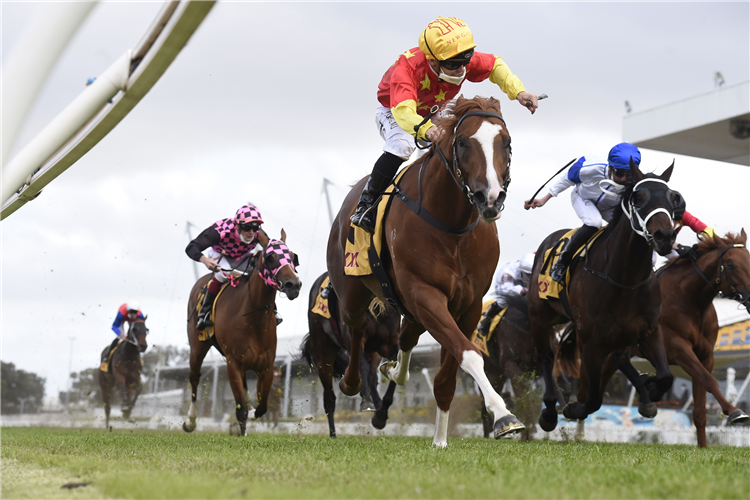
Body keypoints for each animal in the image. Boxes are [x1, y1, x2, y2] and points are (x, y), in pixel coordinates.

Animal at [183, 229, 302, 436]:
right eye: (271, 257)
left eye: (293, 256)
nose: (293, 285)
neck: (253, 318)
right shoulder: (233, 364)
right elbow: (242, 408)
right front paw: (240, 429)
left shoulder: (266, 366)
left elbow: (261, 407)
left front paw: (245, 420)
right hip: (197, 347)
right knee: (195, 377)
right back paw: (190, 421)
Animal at [302, 270, 402, 438]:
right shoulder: (354, 338)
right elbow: (362, 367)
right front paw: (367, 403)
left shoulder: (389, 344)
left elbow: (395, 371)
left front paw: (381, 414)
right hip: (323, 351)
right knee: (329, 398)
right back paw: (333, 434)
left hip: (373, 351)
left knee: (372, 377)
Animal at [328, 96, 528, 446]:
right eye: (462, 143)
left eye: (506, 143)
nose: (490, 198)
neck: (453, 227)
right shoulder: (424, 293)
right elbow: (469, 354)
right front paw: (504, 415)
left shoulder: (468, 305)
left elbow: (448, 375)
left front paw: (440, 440)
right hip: (354, 290)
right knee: (356, 328)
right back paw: (354, 384)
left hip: (413, 309)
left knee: (406, 337)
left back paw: (394, 371)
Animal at [528, 162, 688, 432]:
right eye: (638, 197)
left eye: (672, 197)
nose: (665, 237)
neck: (625, 279)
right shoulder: (591, 341)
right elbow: (592, 399)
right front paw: (573, 407)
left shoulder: (649, 330)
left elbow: (666, 377)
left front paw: (649, 389)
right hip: (542, 317)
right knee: (547, 358)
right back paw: (550, 410)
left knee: (620, 358)